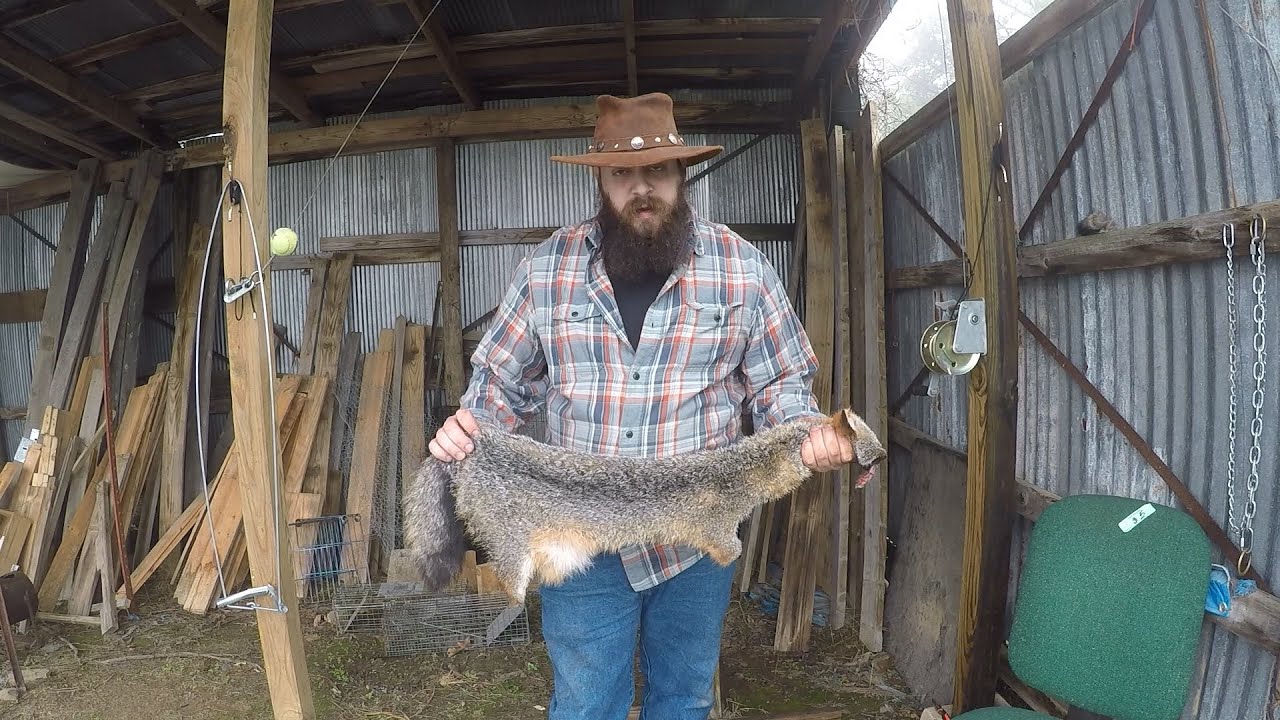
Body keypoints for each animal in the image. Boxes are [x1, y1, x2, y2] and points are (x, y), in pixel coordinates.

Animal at [402, 407, 888, 605]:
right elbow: (728, 547)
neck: (737, 472)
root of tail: (473, 447)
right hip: (512, 549)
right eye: (872, 441)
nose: (884, 457)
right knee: (509, 582)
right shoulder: (715, 525)